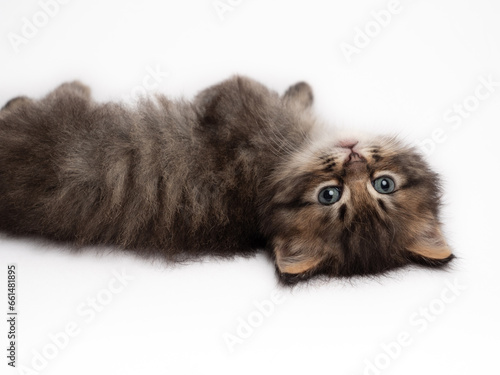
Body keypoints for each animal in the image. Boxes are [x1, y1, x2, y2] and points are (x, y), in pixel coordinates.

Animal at [0, 75, 454, 284]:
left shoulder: (242, 104)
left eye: (330, 194)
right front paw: (302, 93)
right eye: (385, 184)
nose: (354, 160)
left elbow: (233, 86)